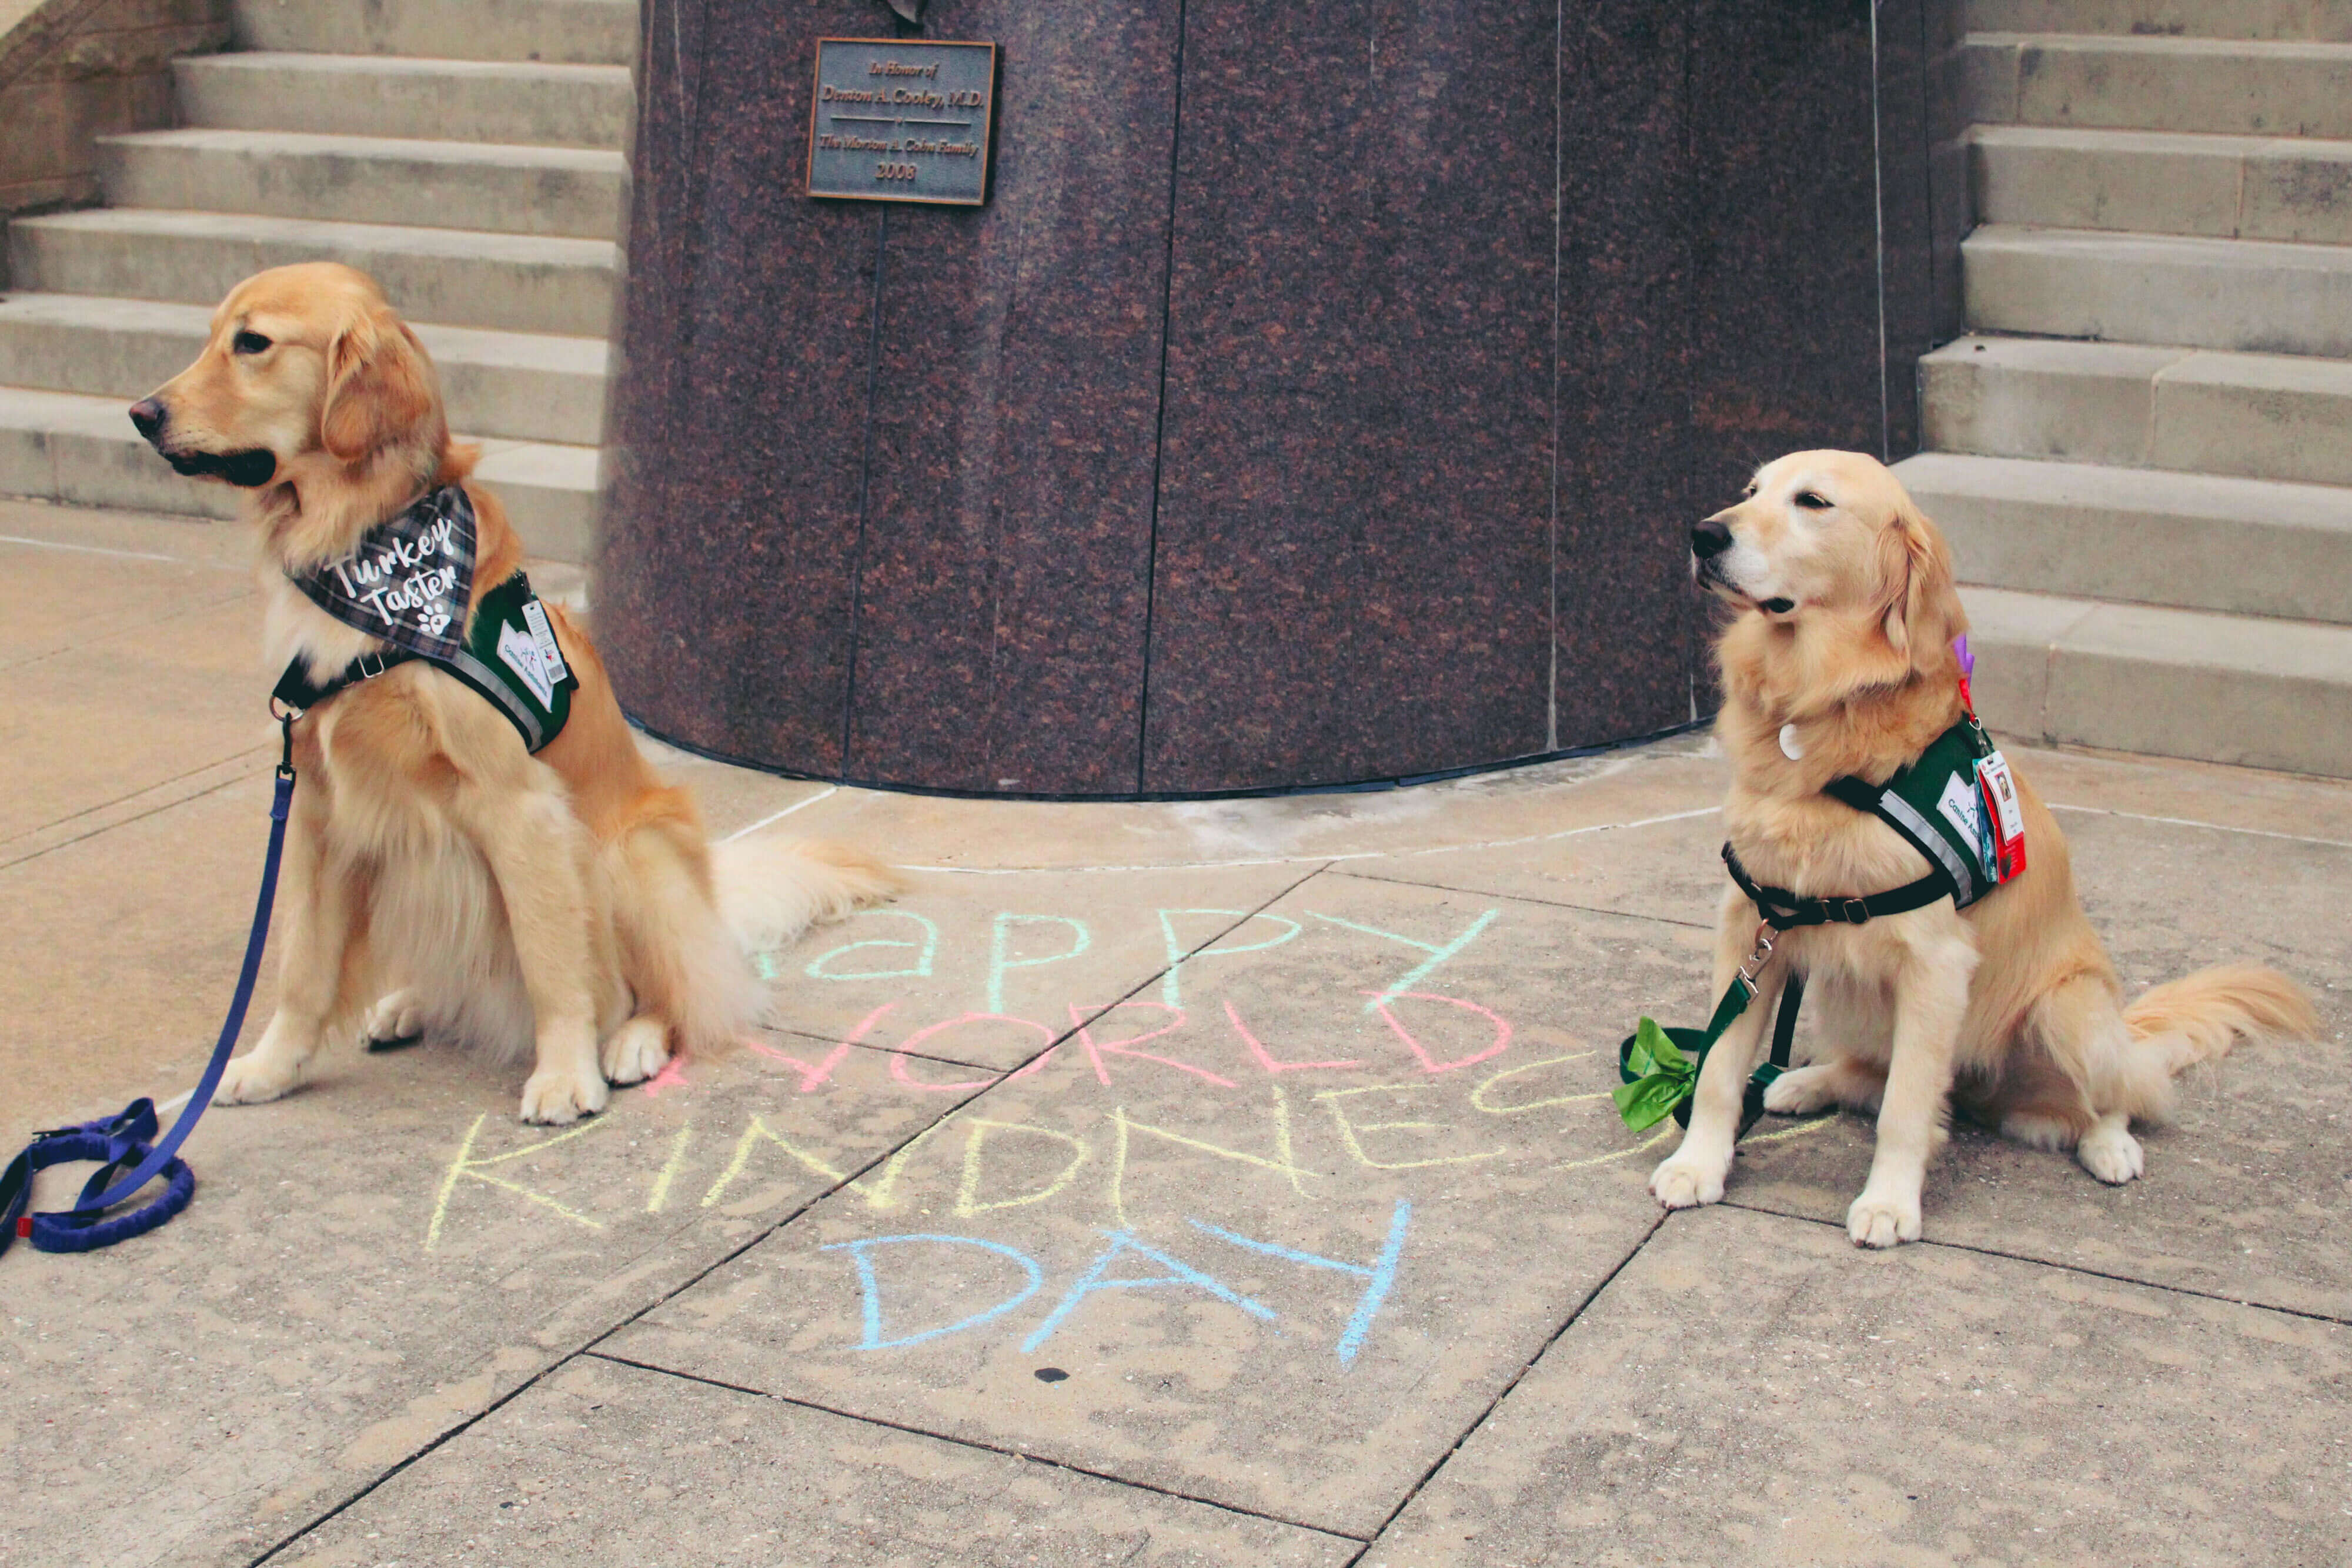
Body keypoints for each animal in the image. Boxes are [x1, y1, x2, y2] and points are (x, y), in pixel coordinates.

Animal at [133, 270, 898, 1128]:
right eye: (211, 337)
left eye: (253, 343)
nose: (142, 414)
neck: (372, 563)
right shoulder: (320, 810)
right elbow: (301, 962)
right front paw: (270, 1065)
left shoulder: (517, 806)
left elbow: (550, 959)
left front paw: (565, 1072)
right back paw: (408, 1001)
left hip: (627, 852)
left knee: (676, 995)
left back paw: (631, 1040)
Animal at [1656, 451, 2314, 1251]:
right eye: (1751, 491)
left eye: (1811, 501)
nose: (1703, 534)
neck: (1820, 711)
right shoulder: (1755, 925)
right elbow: (1720, 1067)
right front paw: (1697, 1165)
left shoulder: (1934, 963)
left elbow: (1906, 1108)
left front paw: (1890, 1203)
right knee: (1866, 1073)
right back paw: (1804, 1081)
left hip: (2069, 1012)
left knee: (2115, 1097)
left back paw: (2109, 1144)